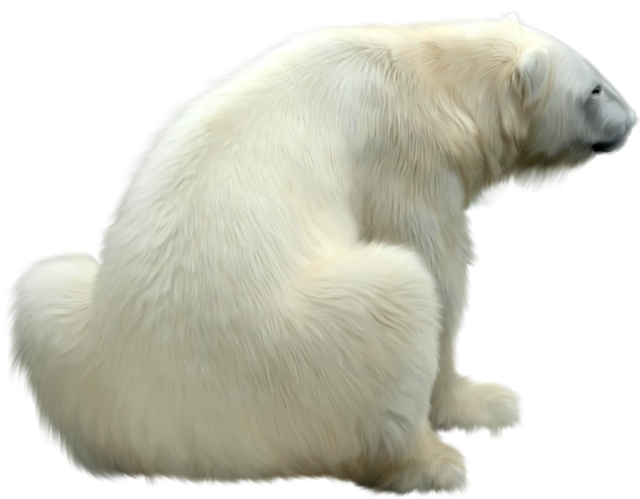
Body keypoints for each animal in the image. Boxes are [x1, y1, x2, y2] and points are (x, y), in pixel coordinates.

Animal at [4, 11, 637, 497]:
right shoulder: (403, 152)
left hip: (72, 332)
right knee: (397, 297)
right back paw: (433, 465)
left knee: (44, 282)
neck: (428, 73)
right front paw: (486, 402)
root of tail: (157, 442)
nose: (632, 122)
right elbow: (436, 265)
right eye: (594, 88)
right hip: (287, 351)